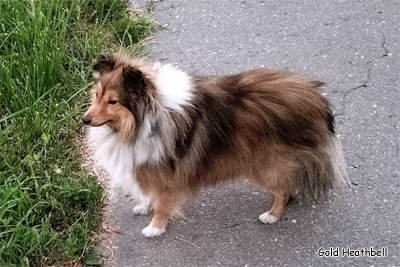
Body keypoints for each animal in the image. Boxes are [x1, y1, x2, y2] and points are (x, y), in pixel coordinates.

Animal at [84, 52, 346, 239]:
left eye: (113, 101)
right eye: (96, 95)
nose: (85, 120)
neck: (146, 117)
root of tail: (314, 96)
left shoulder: (168, 172)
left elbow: (163, 203)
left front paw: (155, 227)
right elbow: (151, 193)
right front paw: (144, 205)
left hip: (263, 166)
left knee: (284, 188)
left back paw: (272, 215)